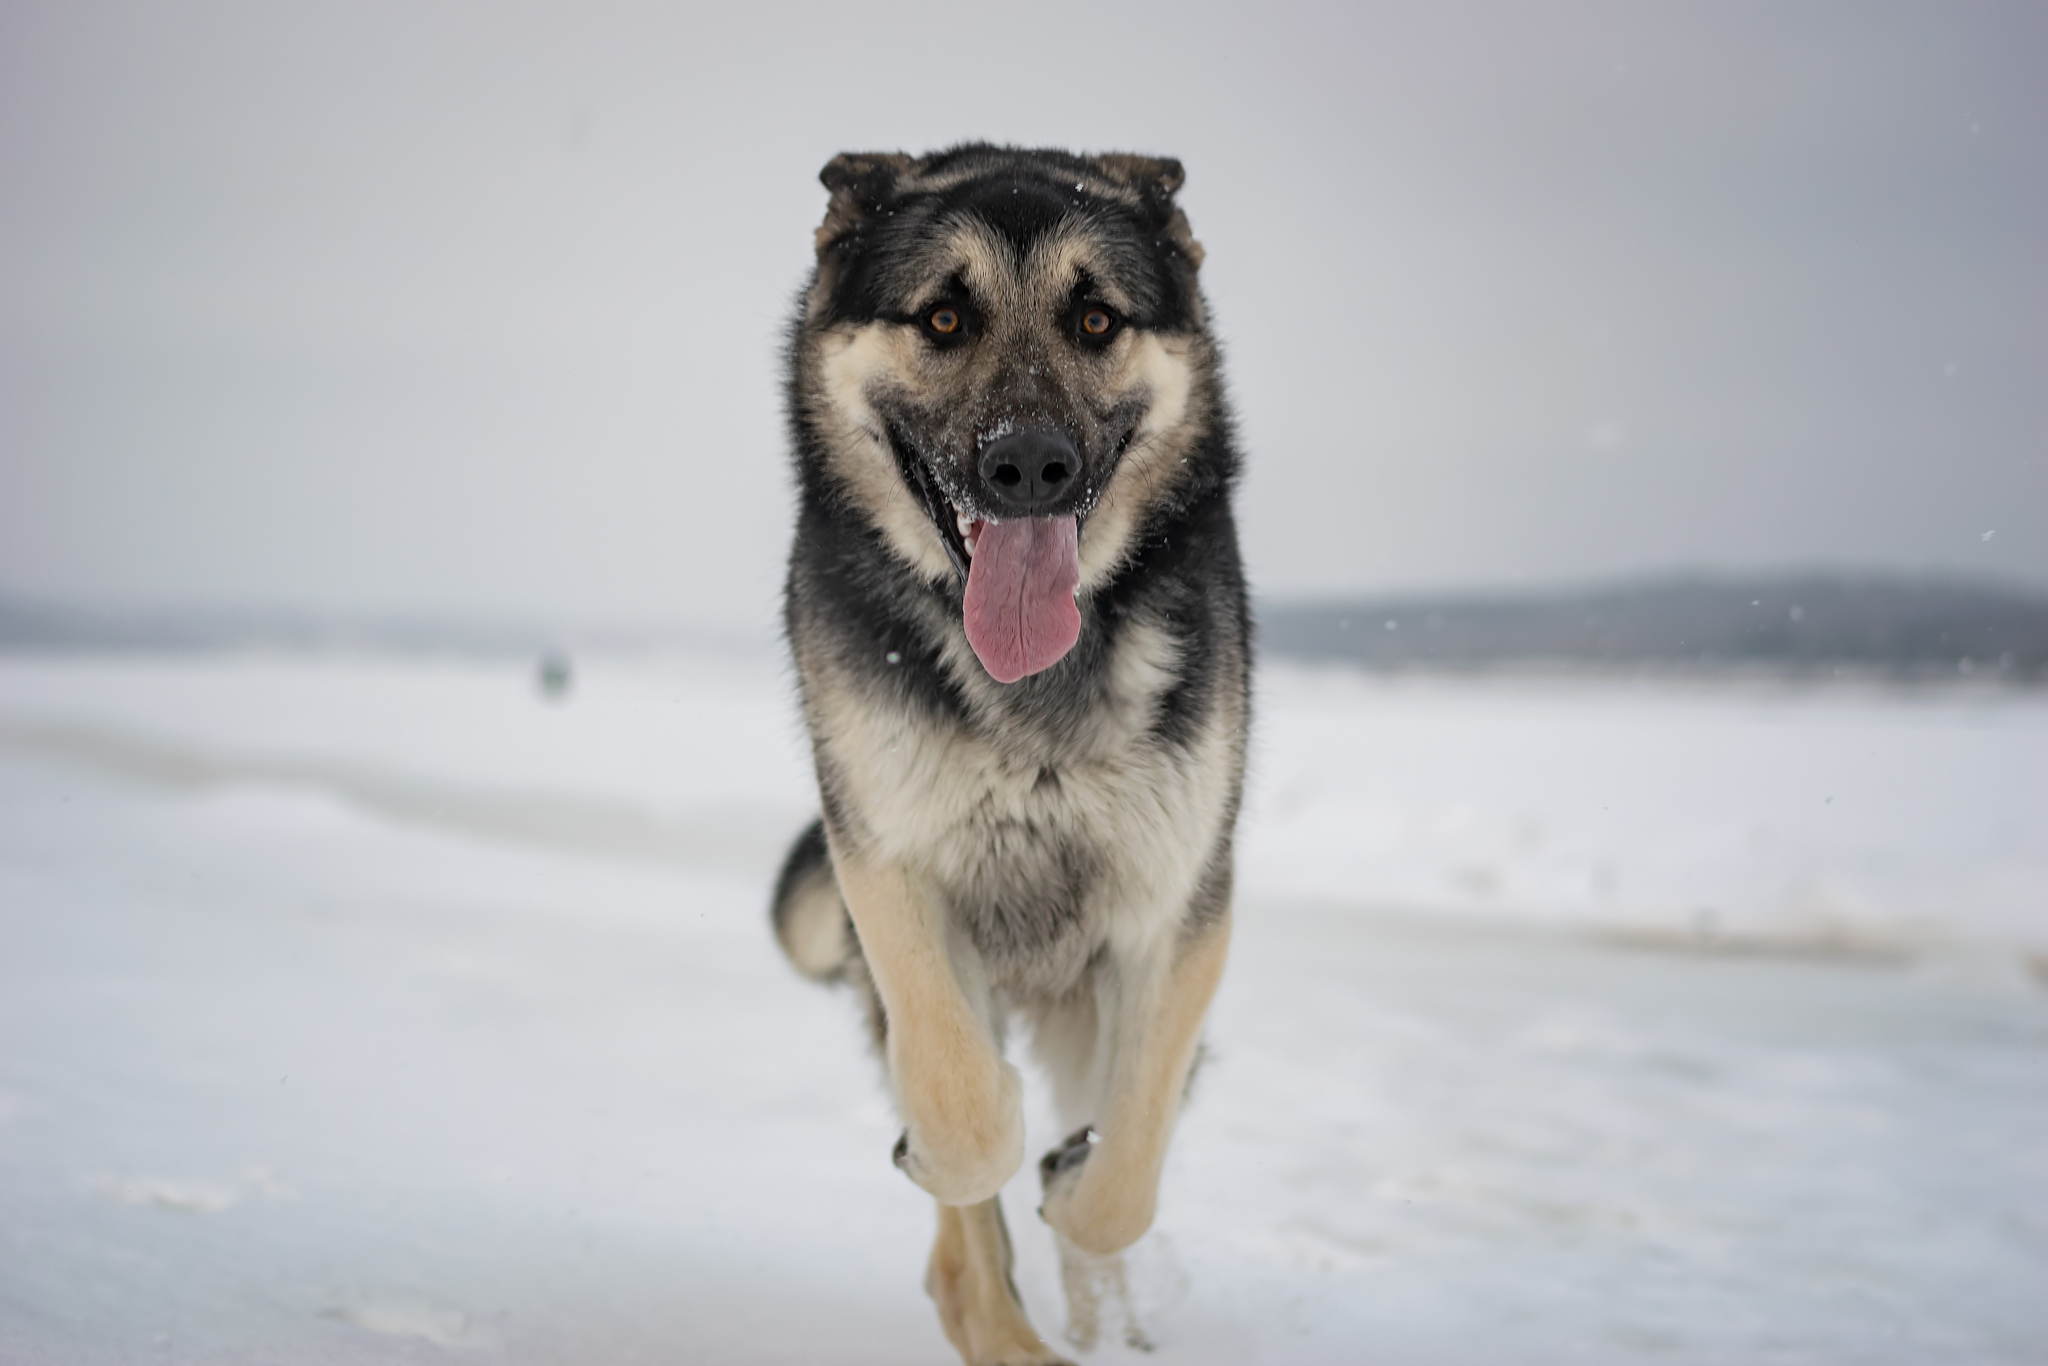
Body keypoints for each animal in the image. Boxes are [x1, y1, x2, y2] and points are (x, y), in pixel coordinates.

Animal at [770, 144, 1245, 1359]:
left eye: (1094, 318)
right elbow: (962, 1105)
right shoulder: (888, 864)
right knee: (960, 1242)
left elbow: (1122, 1174)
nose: (1029, 466)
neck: (1029, 689)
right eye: (943, 317)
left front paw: (1078, 1190)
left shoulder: (1177, 911)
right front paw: (947, 1155)